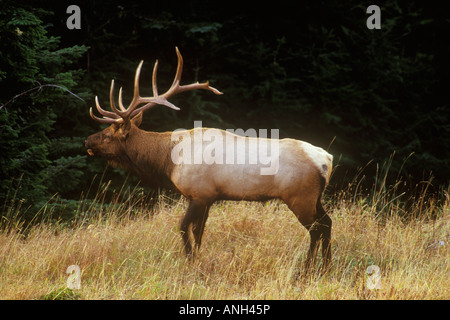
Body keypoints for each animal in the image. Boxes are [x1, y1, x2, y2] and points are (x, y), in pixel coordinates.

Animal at [86, 47, 332, 272]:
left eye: (107, 136)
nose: (87, 141)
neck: (169, 162)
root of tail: (326, 160)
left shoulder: (200, 193)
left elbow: (184, 227)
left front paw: (190, 261)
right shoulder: (208, 197)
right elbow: (199, 231)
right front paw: (198, 259)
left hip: (299, 196)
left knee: (316, 229)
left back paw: (308, 267)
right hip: (314, 197)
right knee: (327, 223)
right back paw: (327, 265)